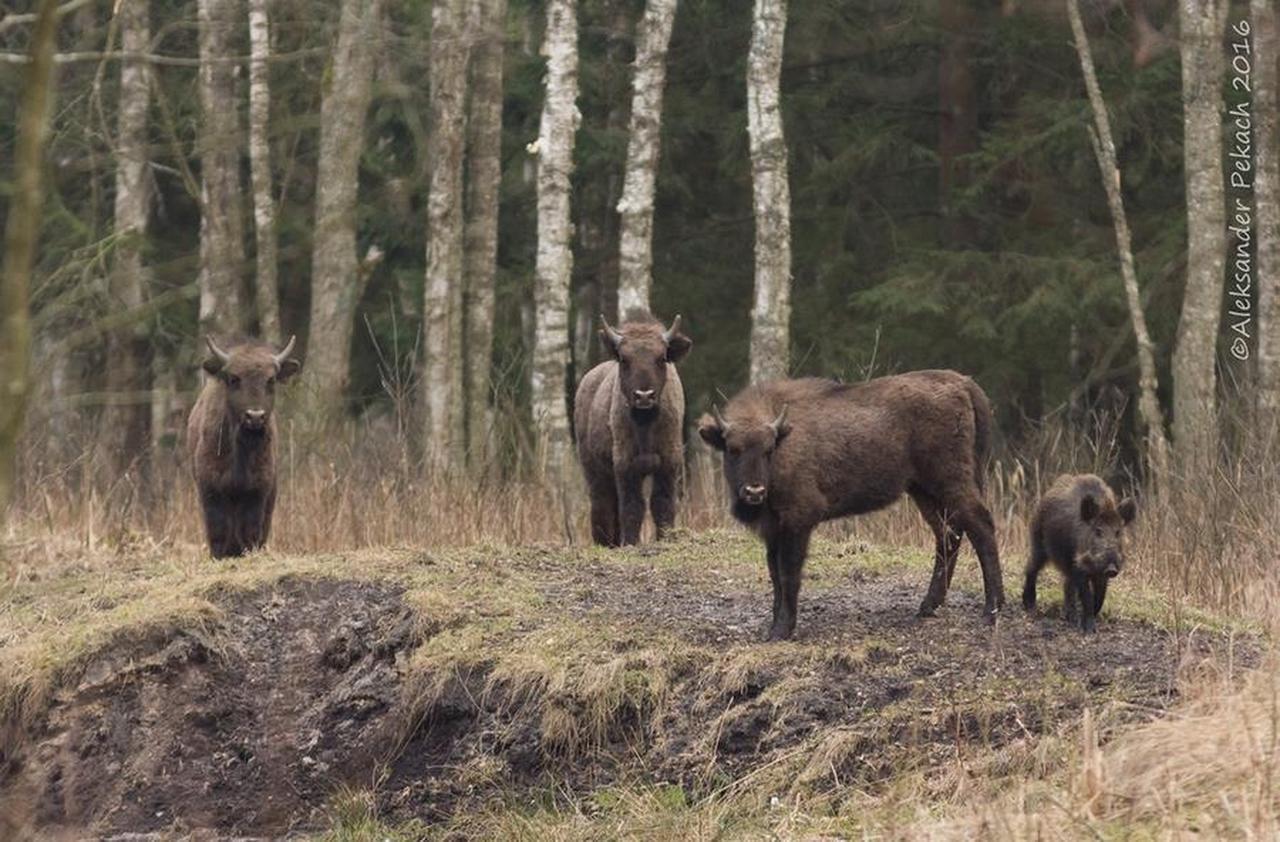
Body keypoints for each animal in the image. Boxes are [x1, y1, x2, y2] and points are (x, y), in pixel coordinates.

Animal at [186, 335, 300, 557]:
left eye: (271, 380)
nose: (255, 416)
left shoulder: (257, 490)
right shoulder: (211, 488)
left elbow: (251, 530)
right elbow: (218, 529)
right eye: (233, 378)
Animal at [578, 309, 696, 545]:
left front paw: (664, 538)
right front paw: (631, 542)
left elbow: (662, 504)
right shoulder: (626, 465)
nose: (644, 396)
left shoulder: (669, 462)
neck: (646, 424)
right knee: (602, 503)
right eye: (624, 359)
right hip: (594, 470)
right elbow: (633, 506)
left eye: (662, 358)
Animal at [696, 371, 1003, 639]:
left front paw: (782, 630)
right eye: (732, 450)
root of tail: (962, 383)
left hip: (950, 482)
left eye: (769, 450)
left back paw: (992, 609)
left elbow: (788, 573)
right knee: (947, 534)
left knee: (980, 526)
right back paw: (928, 606)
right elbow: (775, 576)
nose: (754, 491)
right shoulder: (774, 529)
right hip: (922, 490)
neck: (784, 437)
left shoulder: (798, 521)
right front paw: (773, 625)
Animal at [1018, 470, 1141, 629]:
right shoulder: (1077, 566)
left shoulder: (1100, 574)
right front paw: (1089, 628)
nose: (1111, 568)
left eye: (1118, 532)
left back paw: (1069, 617)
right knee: (1031, 568)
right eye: (1098, 531)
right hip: (1038, 541)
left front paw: (1092, 617)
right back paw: (1029, 605)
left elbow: (1100, 596)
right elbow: (1087, 596)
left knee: (1066, 585)